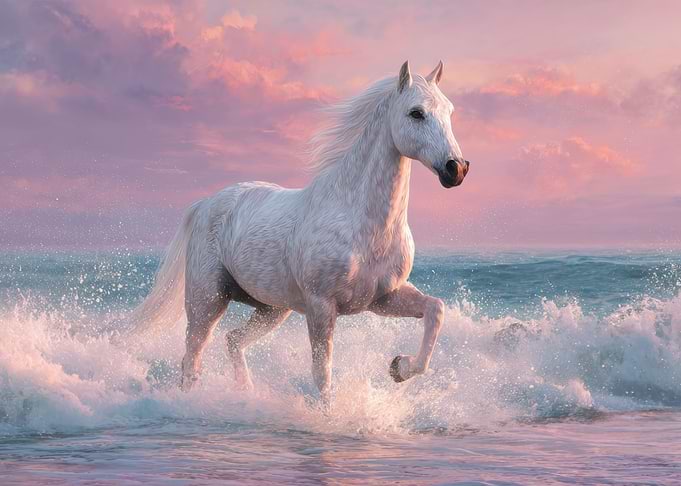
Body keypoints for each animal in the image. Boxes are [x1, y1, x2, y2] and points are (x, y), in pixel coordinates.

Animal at [129, 61, 470, 402]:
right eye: (416, 113)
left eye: (450, 111)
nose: (456, 169)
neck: (360, 222)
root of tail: (205, 204)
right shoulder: (321, 307)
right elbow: (323, 375)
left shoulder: (383, 298)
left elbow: (435, 309)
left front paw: (399, 367)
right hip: (208, 301)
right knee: (192, 359)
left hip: (272, 309)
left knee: (233, 339)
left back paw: (245, 392)